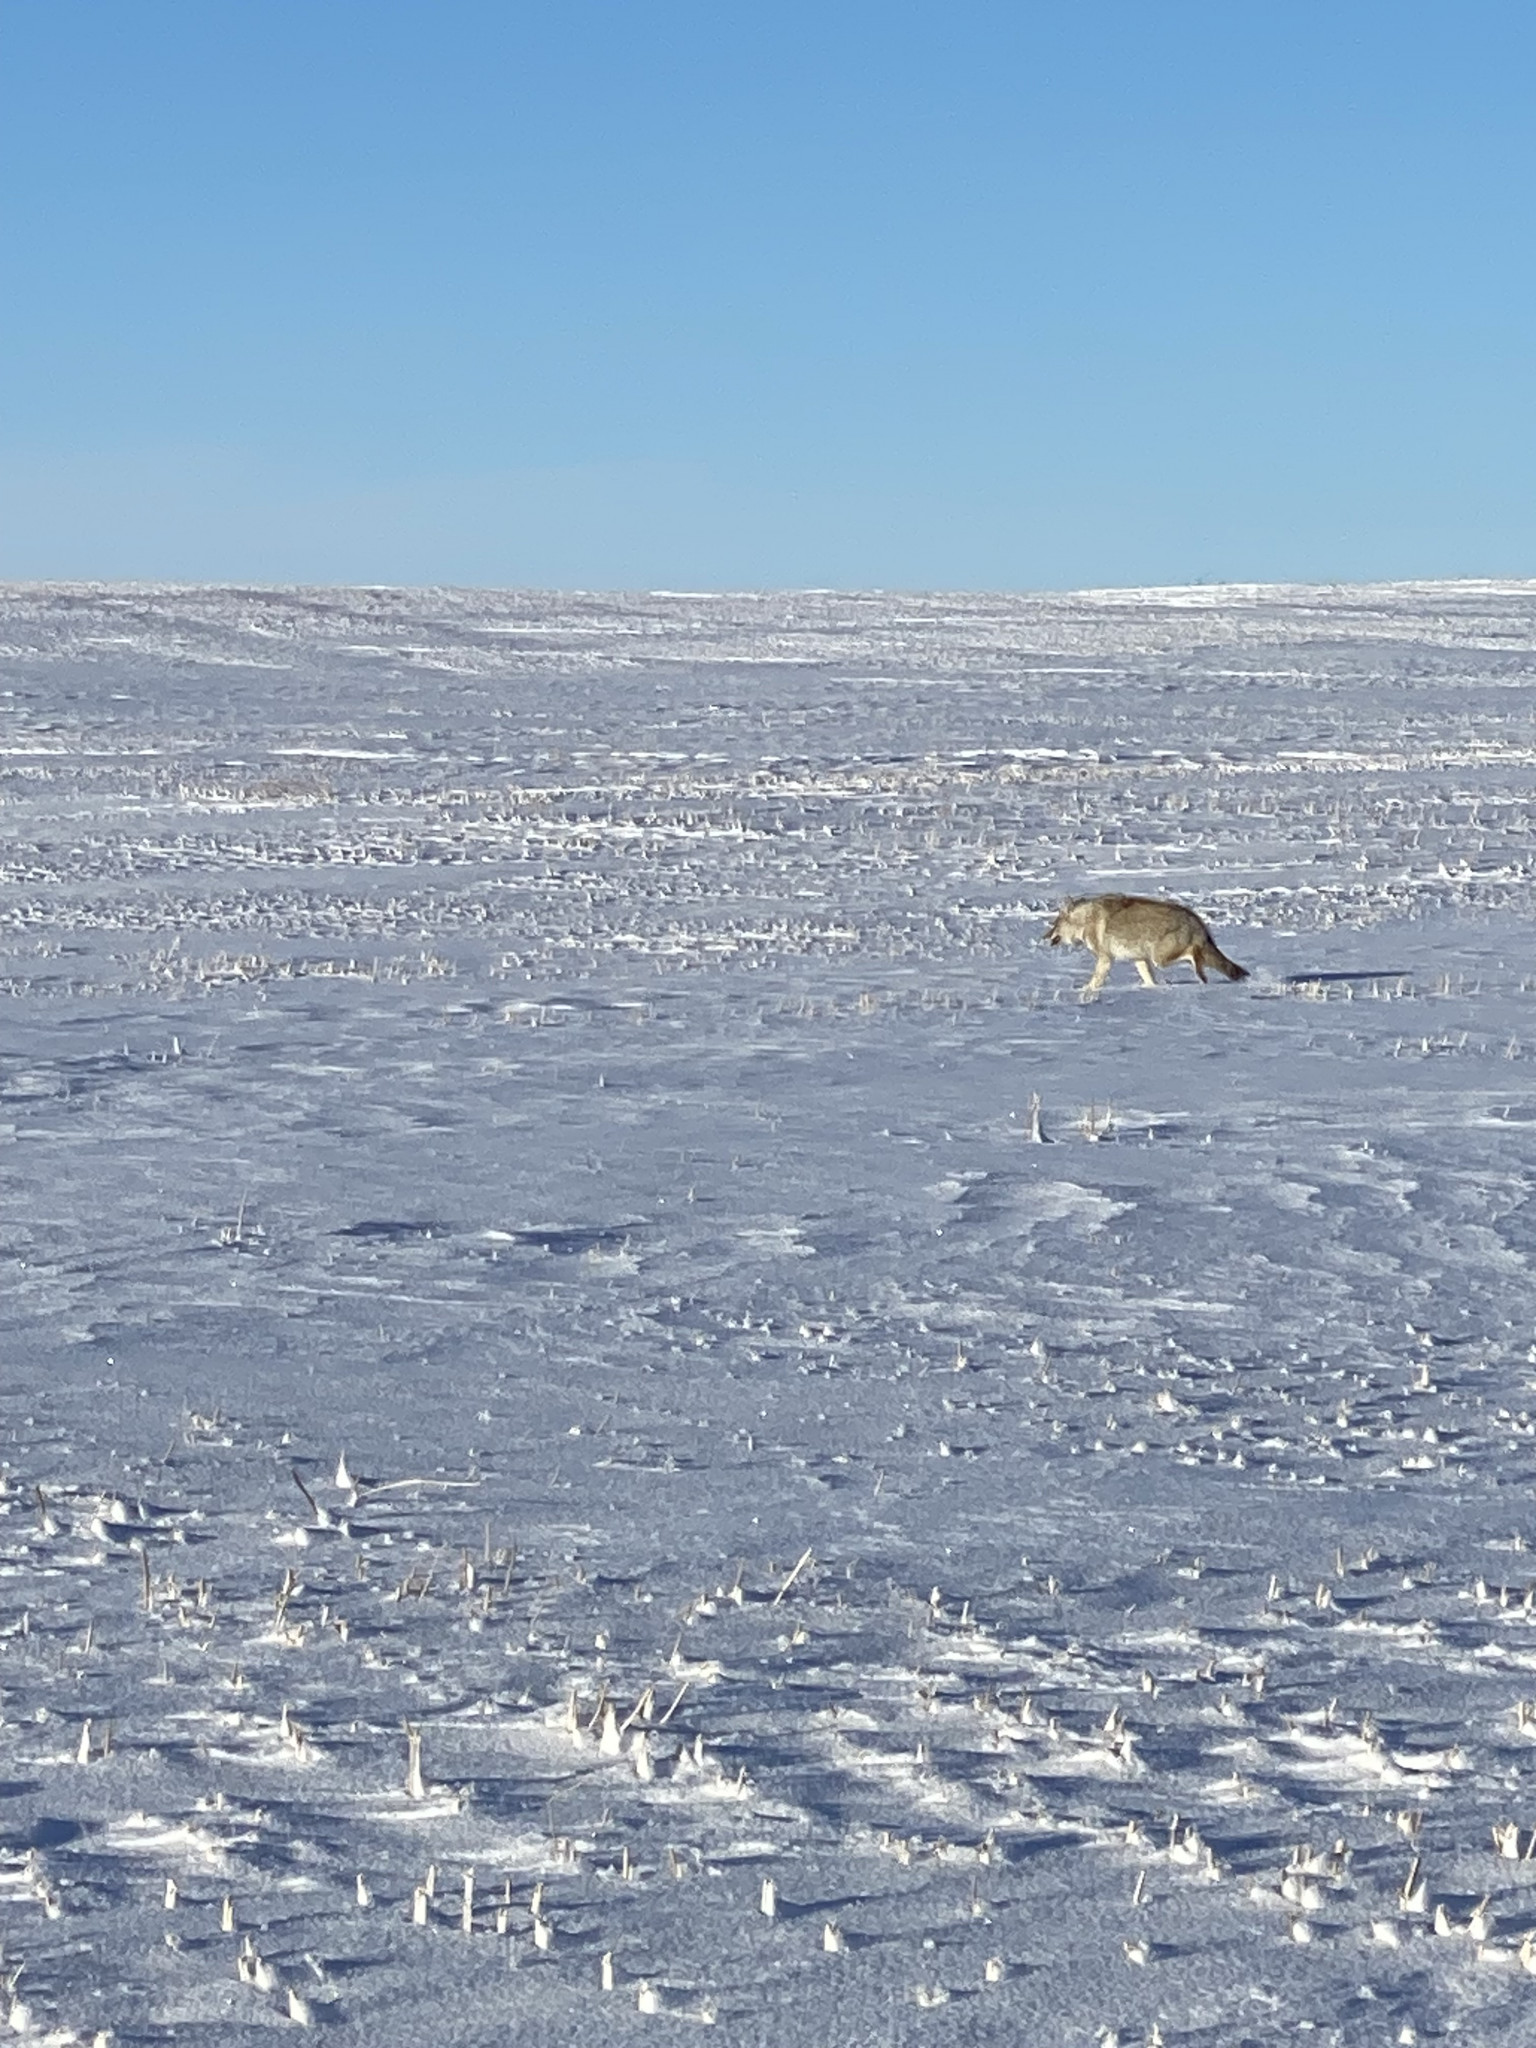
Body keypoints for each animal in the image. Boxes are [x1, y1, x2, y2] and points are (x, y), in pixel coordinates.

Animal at [1044, 893, 1249, 995]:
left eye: (1054, 925)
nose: (1044, 937)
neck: (1085, 920)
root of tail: (1197, 922)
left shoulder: (1105, 959)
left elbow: (1094, 981)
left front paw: (1084, 990)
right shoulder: (1140, 959)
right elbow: (1150, 980)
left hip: (1160, 958)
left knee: (1194, 956)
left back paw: (1201, 976)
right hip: (1157, 959)